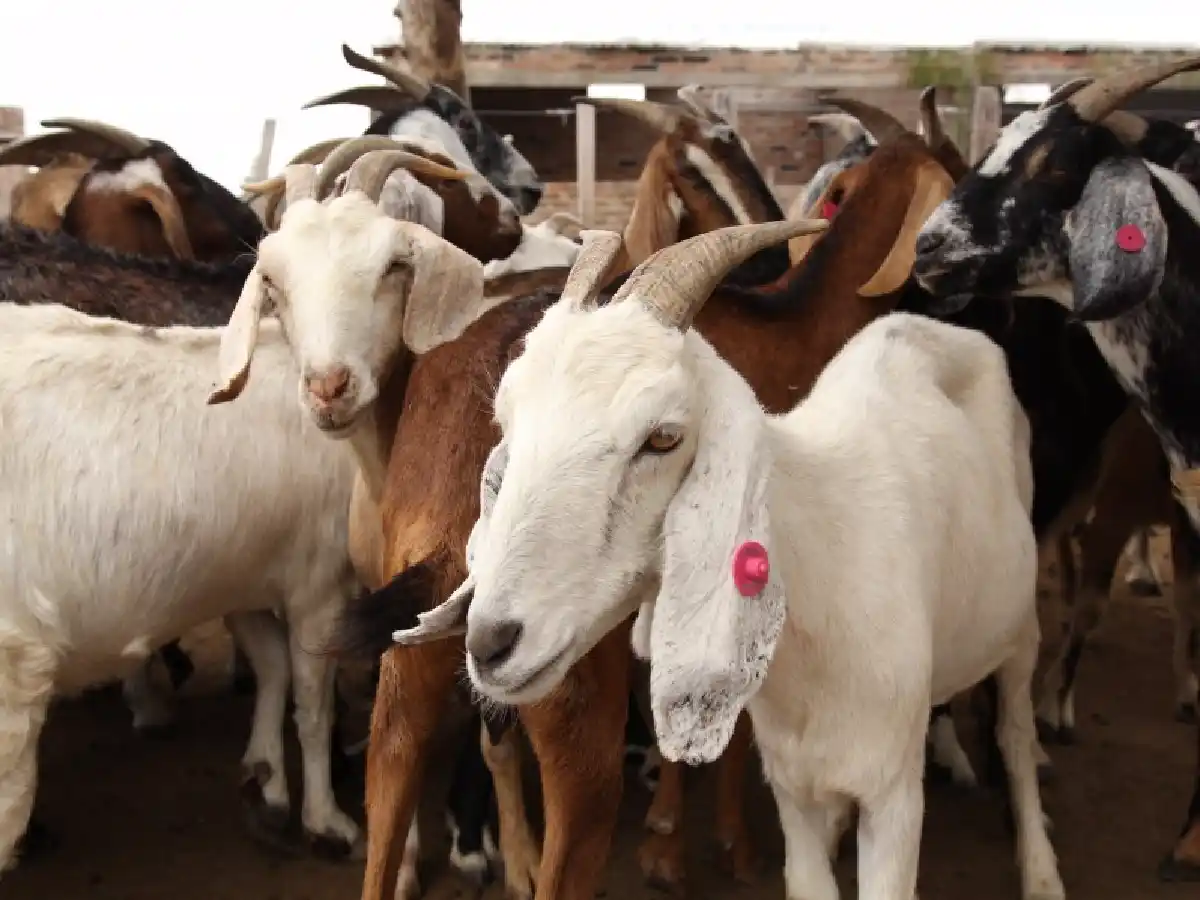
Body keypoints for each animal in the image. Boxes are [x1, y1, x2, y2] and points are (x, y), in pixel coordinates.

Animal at [411, 221, 1064, 900]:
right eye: (506, 418)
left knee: (1016, 734)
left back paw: (1041, 869)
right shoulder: (791, 789)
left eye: (663, 437)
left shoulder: (895, 798)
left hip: (1019, 629)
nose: (490, 643)